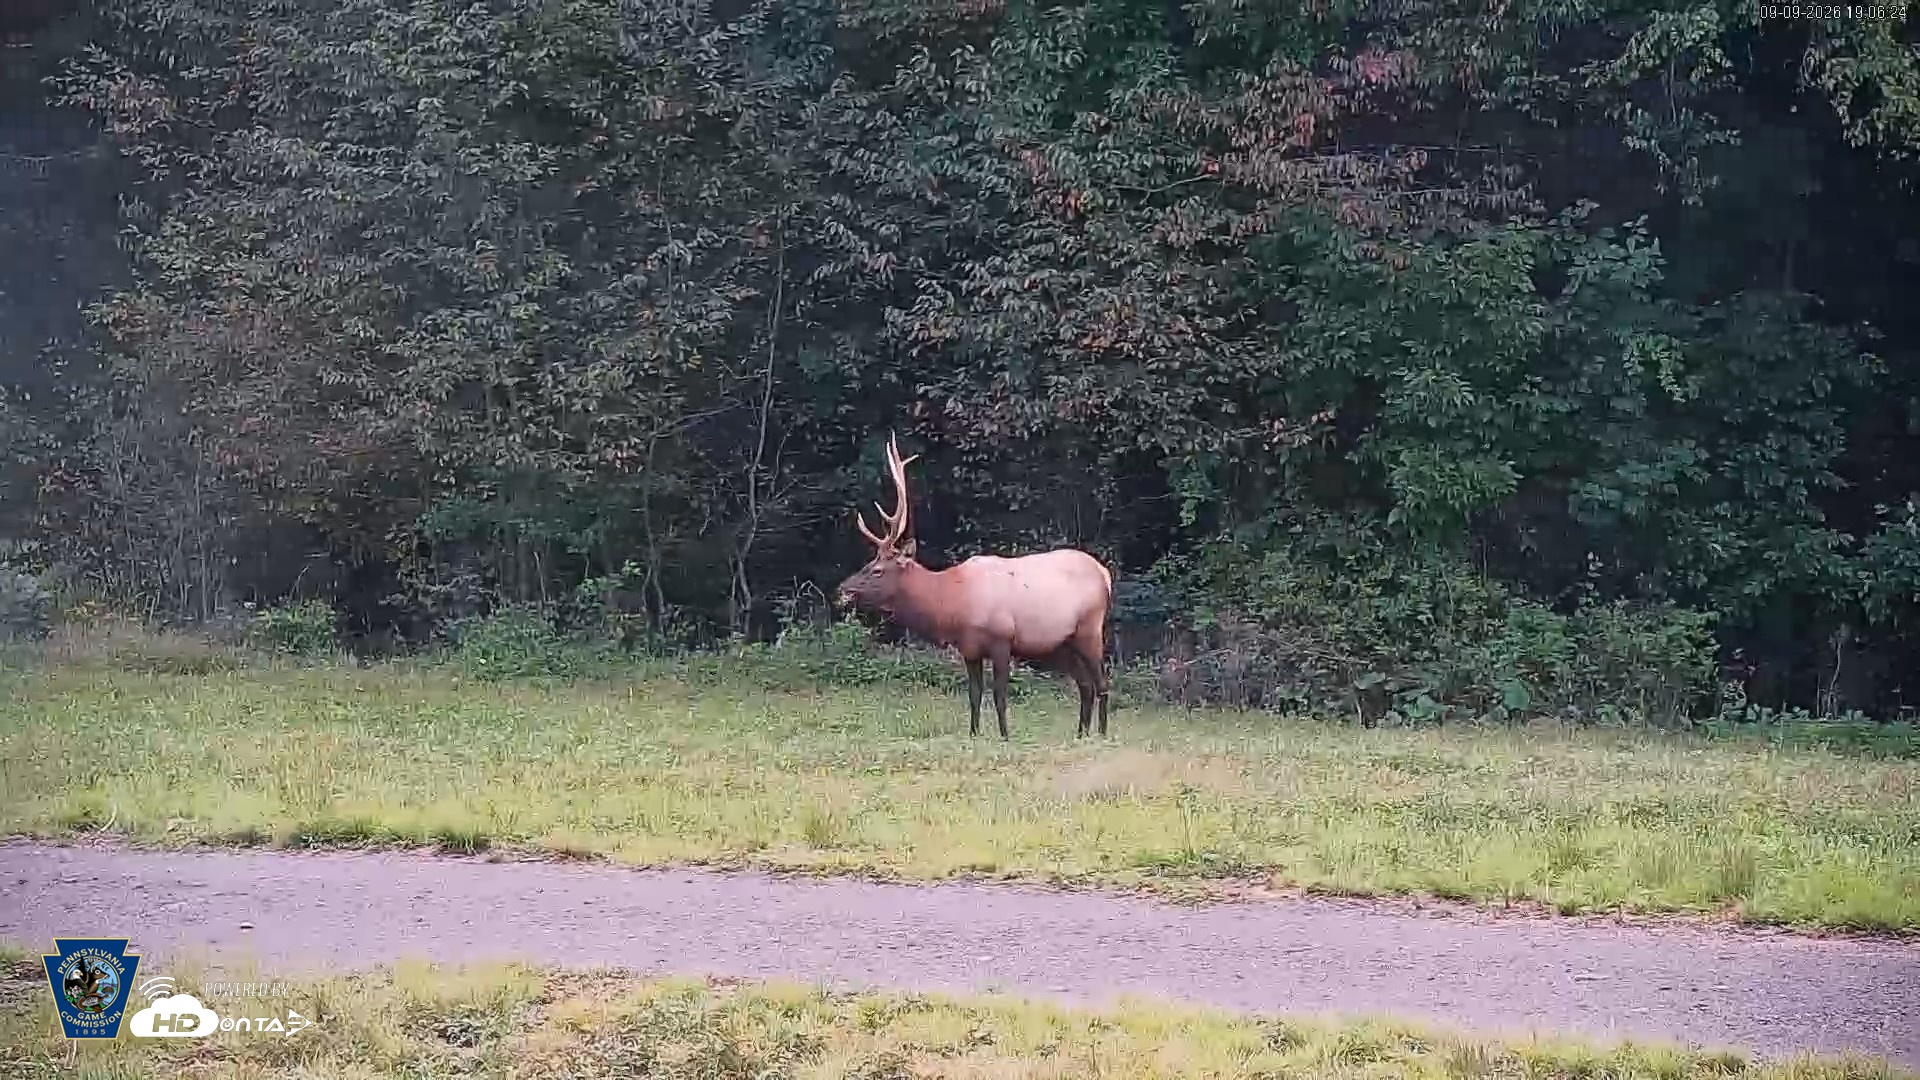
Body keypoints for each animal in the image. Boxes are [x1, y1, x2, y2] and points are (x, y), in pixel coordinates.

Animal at [834, 433, 1116, 739]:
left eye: (877, 570)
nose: (842, 590)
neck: (953, 605)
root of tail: (1105, 574)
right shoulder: (969, 649)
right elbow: (974, 694)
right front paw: (974, 734)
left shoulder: (1003, 639)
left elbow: (999, 694)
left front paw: (1005, 736)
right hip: (1062, 643)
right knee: (1085, 685)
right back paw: (1080, 734)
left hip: (1090, 628)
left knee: (1102, 682)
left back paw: (1102, 733)